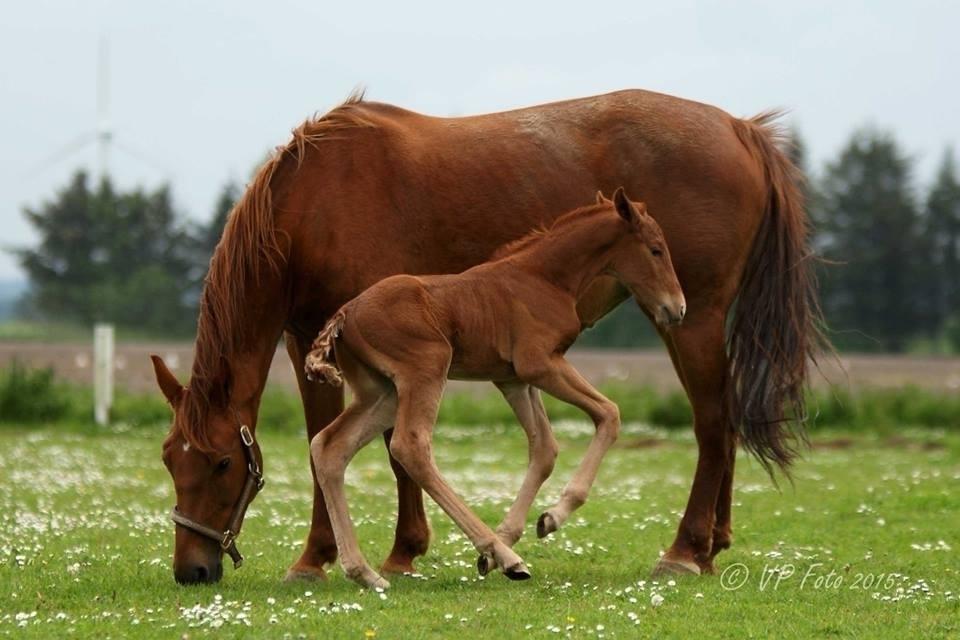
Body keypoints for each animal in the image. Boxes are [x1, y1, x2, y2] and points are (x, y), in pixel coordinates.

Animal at [304, 188, 688, 588]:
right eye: (656, 249)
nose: (677, 309)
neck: (545, 278)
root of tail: (345, 313)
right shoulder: (541, 364)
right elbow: (609, 413)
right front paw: (551, 518)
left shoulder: (514, 380)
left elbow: (545, 447)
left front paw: (517, 535)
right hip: (426, 370)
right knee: (410, 446)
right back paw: (508, 559)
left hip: (382, 392)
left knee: (330, 447)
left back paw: (365, 572)